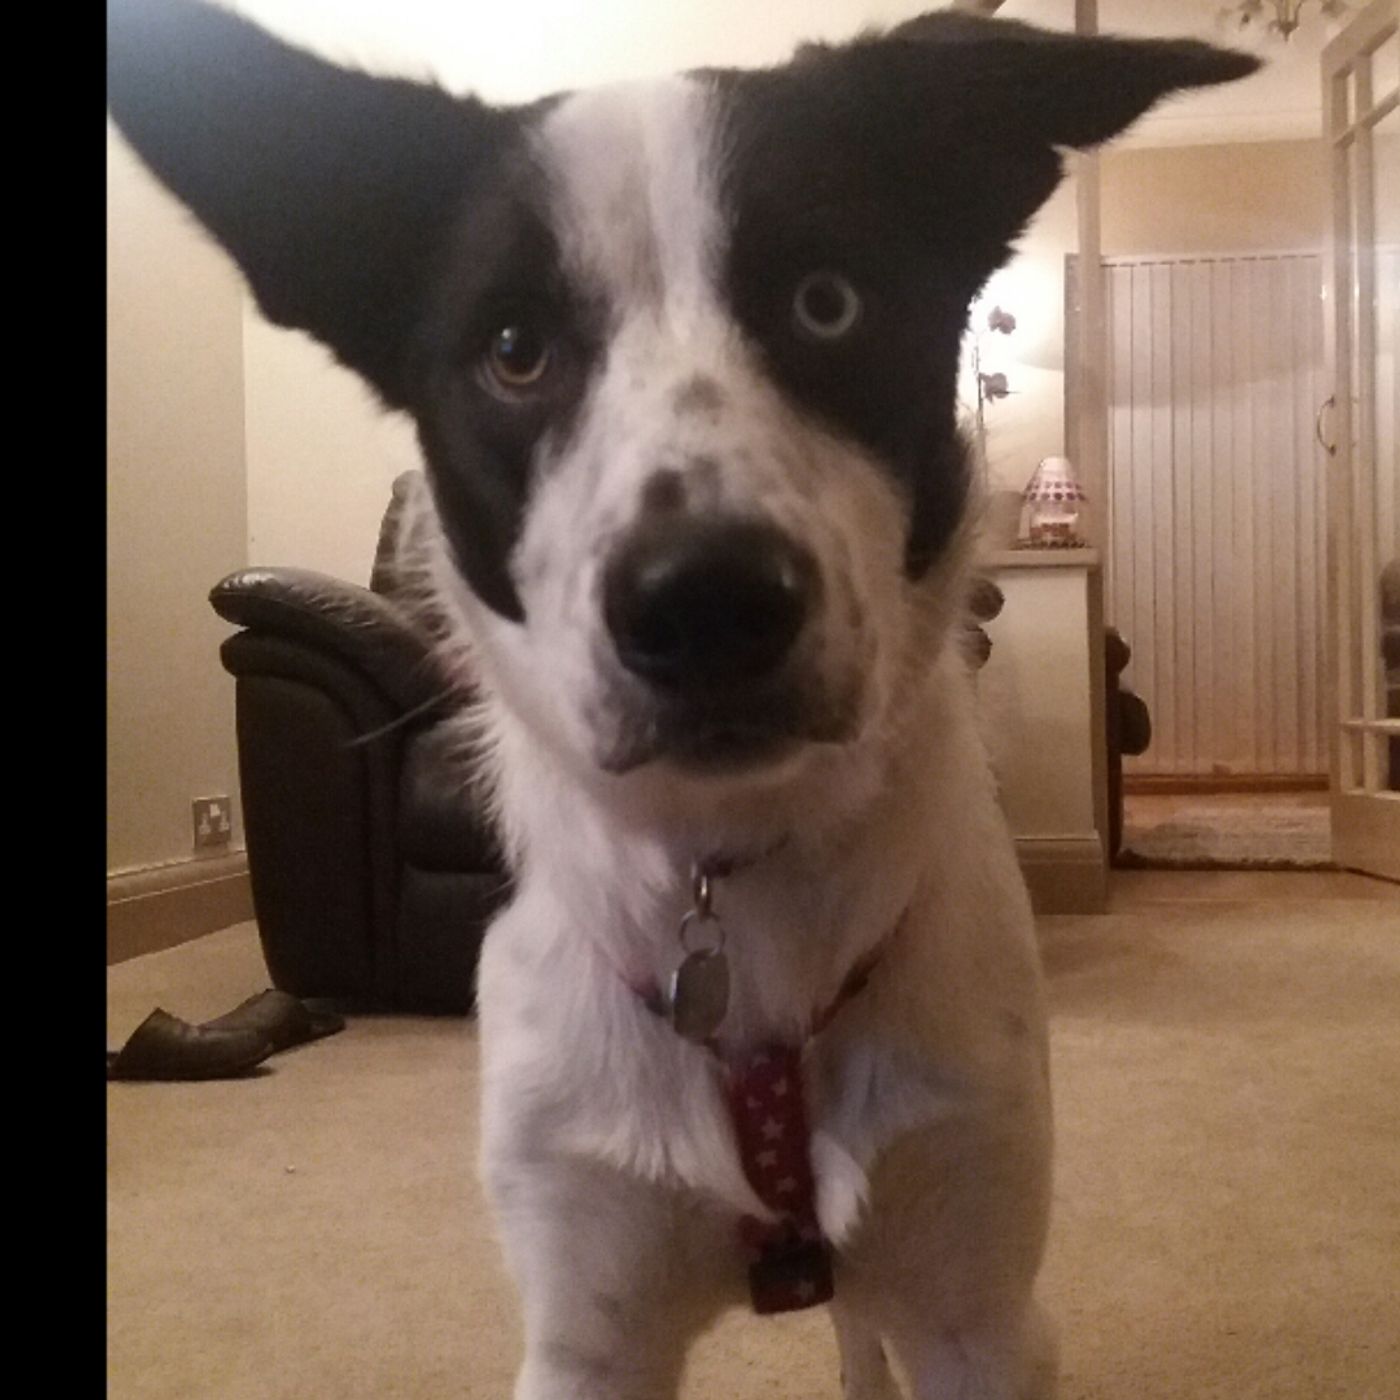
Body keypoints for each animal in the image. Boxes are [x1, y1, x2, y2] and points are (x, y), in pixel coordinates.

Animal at [108, 4, 1256, 1395]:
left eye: (827, 300)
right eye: (513, 350)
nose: (704, 603)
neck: (728, 882)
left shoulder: (979, 1309)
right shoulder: (585, 1328)